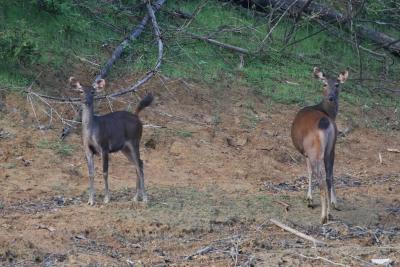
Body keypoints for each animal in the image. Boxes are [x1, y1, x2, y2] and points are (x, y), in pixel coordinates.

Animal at [69, 76, 153, 206]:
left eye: (92, 92)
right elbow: (91, 173)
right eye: (81, 91)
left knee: (139, 165)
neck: (92, 130)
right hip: (125, 148)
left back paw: (144, 198)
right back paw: (135, 197)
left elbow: (105, 172)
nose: (86, 101)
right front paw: (90, 200)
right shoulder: (87, 150)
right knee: (139, 163)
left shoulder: (104, 147)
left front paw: (107, 199)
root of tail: (137, 116)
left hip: (135, 141)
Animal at [290, 67, 346, 224]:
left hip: (315, 151)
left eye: (337, 84)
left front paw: (309, 198)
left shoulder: (306, 153)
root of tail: (325, 122)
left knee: (321, 180)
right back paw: (331, 211)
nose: (331, 97)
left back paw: (323, 216)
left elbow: (308, 172)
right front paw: (335, 202)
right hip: (331, 149)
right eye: (324, 84)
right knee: (329, 176)